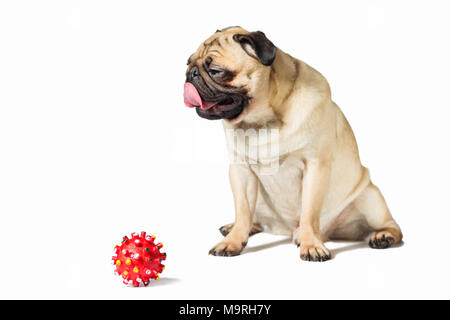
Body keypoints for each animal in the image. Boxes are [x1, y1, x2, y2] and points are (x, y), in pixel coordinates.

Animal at [183, 26, 404, 262]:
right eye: (188, 62)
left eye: (216, 71)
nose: (191, 74)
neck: (261, 121)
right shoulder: (240, 171)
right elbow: (242, 211)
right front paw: (233, 241)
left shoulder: (315, 167)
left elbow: (309, 212)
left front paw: (311, 245)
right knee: (252, 216)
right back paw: (238, 227)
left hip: (371, 199)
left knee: (392, 226)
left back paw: (382, 236)